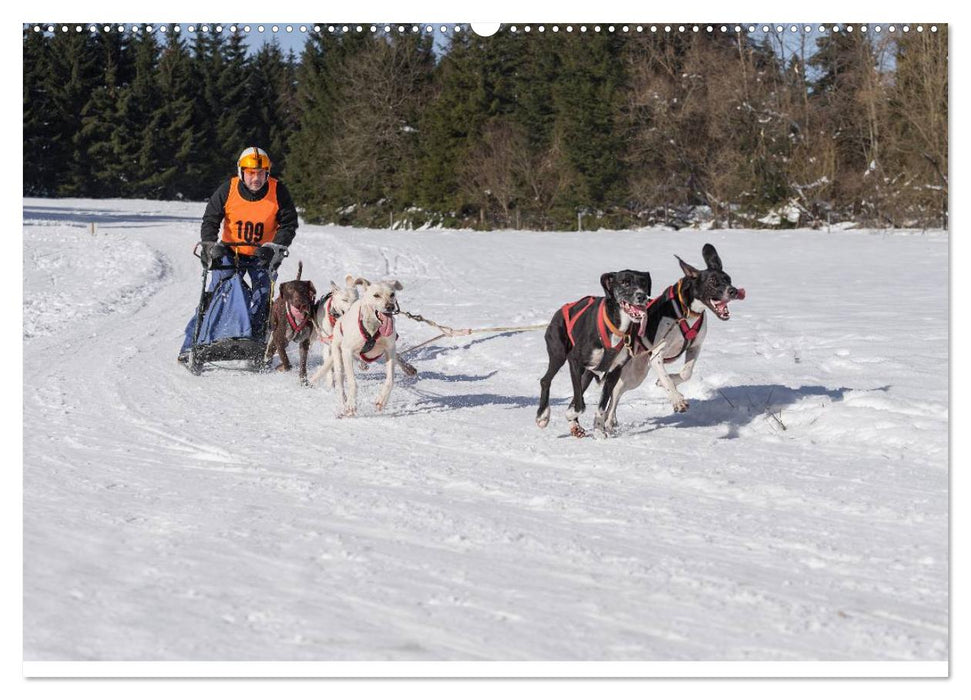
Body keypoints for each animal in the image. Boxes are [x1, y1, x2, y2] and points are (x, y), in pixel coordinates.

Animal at [326, 276, 402, 412]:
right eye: (376, 295)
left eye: (392, 294)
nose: (390, 306)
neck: (373, 328)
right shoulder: (347, 351)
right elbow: (352, 381)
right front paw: (351, 404)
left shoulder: (390, 350)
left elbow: (390, 380)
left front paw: (382, 400)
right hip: (338, 356)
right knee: (340, 381)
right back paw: (343, 403)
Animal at [536, 270, 656, 438]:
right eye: (625, 282)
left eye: (644, 282)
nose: (642, 296)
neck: (616, 327)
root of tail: (561, 310)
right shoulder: (574, 360)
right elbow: (580, 405)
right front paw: (570, 414)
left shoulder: (614, 372)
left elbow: (601, 405)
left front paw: (599, 429)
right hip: (558, 355)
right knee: (546, 380)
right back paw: (543, 416)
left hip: (588, 373)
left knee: (577, 392)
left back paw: (575, 426)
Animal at [596, 243, 748, 434]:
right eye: (713, 282)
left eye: (728, 279)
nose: (734, 291)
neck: (687, 312)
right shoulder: (656, 355)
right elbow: (666, 378)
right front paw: (677, 400)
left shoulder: (695, 347)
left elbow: (685, 373)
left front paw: (668, 385)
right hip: (632, 371)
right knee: (615, 392)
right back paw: (608, 421)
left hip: (637, 373)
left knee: (617, 393)